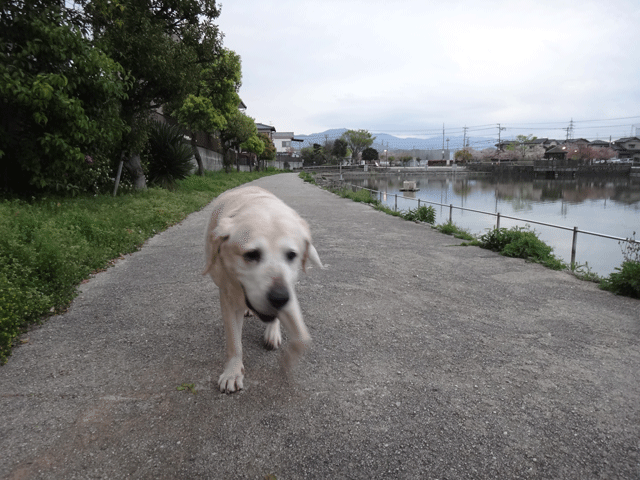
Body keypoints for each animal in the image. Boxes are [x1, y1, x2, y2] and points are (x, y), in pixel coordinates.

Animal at [204, 186, 322, 392]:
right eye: (251, 254)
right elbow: (234, 342)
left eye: (292, 255)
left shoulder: (288, 291)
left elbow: (302, 338)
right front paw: (233, 372)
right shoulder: (228, 296)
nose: (279, 297)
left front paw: (287, 361)